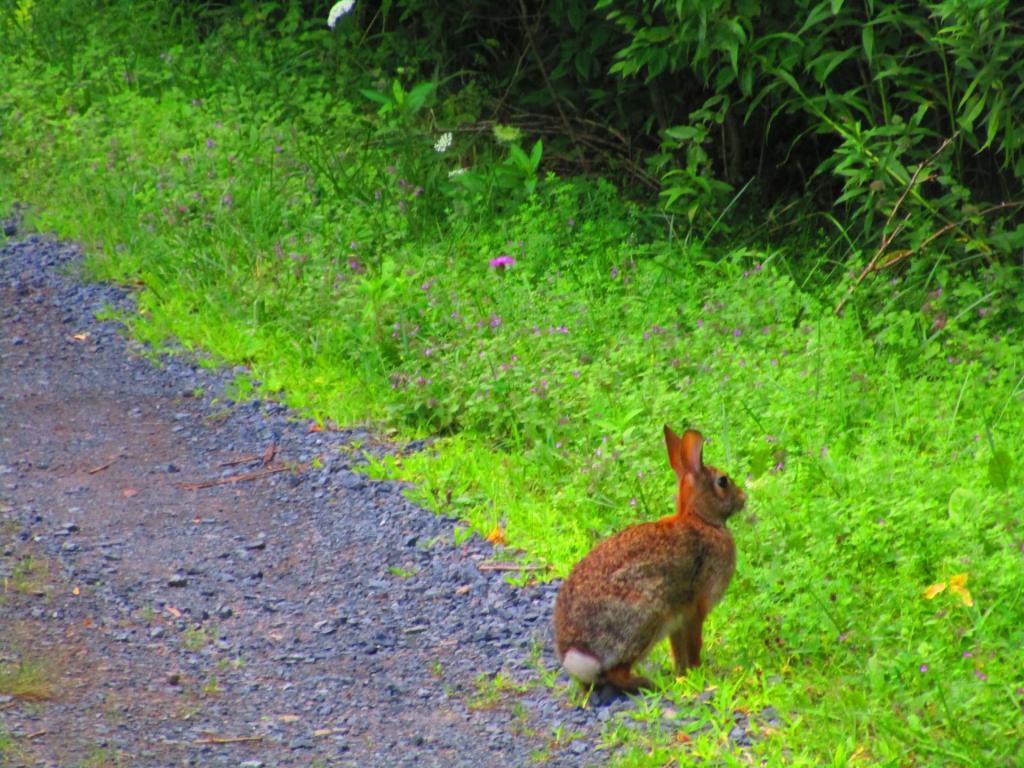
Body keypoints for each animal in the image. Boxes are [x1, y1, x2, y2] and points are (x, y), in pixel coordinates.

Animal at [553, 425, 746, 692]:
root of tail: (579, 653)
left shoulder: (678, 619)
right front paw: (699, 671)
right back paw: (646, 682)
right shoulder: (695, 607)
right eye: (723, 481)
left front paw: (682, 673)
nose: (743, 498)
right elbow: (694, 643)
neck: (701, 520)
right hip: (646, 614)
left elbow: (678, 649)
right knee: (617, 673)